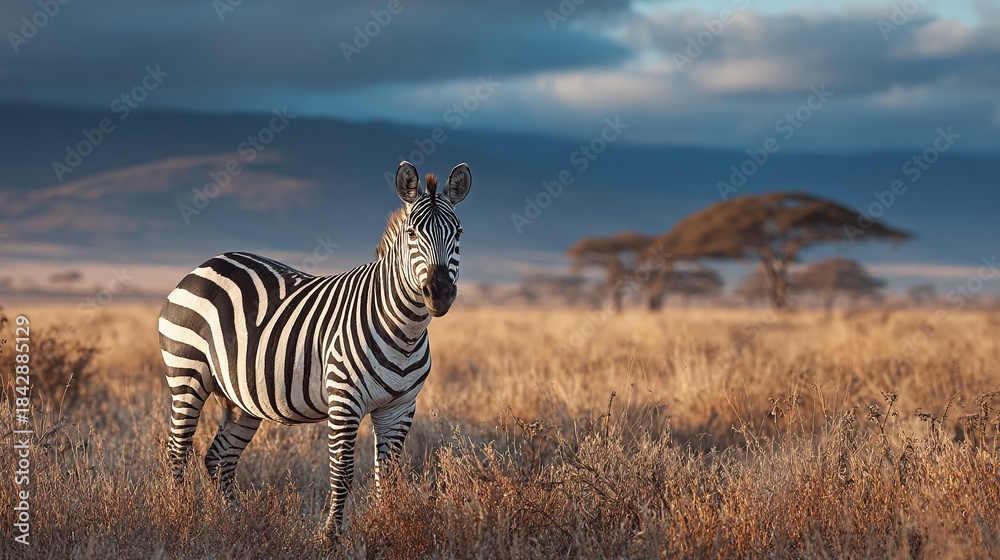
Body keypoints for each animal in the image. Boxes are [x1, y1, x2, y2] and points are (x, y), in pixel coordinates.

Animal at [158, 161, 471, 542]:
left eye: (458, 233)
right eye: (412, 233)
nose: (439, 292)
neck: (405, 331)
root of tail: (206, 263)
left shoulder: (399, 408)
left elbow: (389, 475)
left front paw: (387, 528)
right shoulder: (344, 400)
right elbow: (343, 472)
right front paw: (331, 536)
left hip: (238, 397)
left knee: (219, 459)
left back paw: (235, 522)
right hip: (186, 374)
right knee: (177, 451)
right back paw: (179, 518)